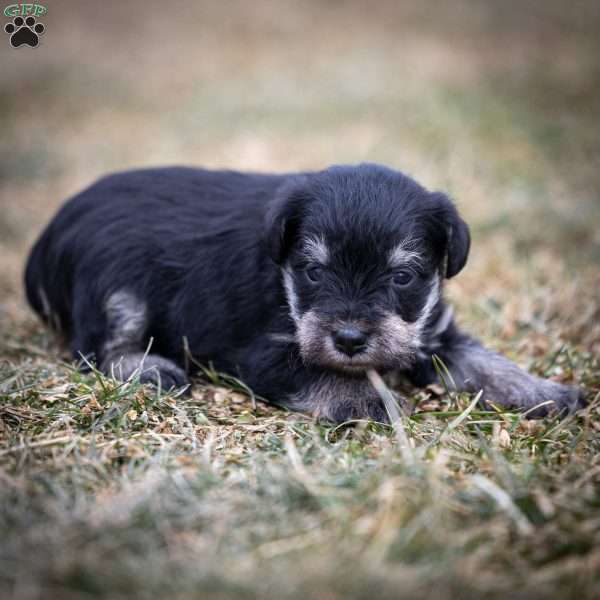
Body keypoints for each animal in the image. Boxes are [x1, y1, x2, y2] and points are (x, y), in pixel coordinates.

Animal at [25, 162, 584, 420]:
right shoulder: (262, 353)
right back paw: (149, 368)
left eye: (402, 277)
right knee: (95, 348)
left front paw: (546, 392)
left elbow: (488, 364)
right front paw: (374, 401)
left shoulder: (433, 332)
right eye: (314, 272)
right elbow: (324, 376)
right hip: (116, 287)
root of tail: (46, 236)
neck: (285, 286)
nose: (351, 340)